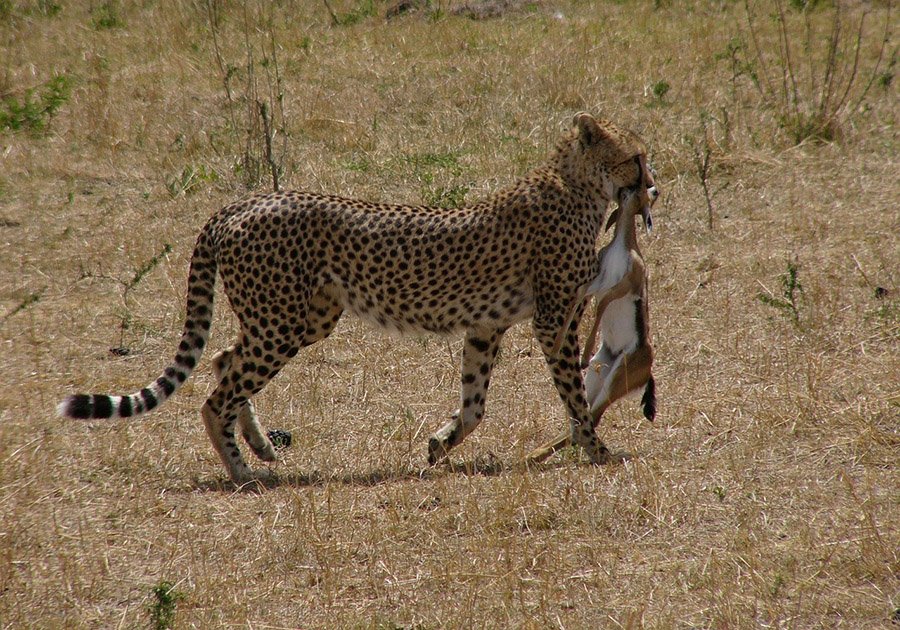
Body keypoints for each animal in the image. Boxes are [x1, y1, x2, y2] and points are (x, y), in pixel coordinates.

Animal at [58, 112, 658, 484]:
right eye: (636, 157)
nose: (652, 187)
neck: (577, 185)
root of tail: (243, 202)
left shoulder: (485, 327)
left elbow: (475, 405)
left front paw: (439, 444)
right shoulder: (553, 321)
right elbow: (574, 397)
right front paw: (598, 452)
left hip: (301, 318)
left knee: (225, 359)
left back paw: (260, 446)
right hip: (283, 323)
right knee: (216, 395)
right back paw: (243, 472)